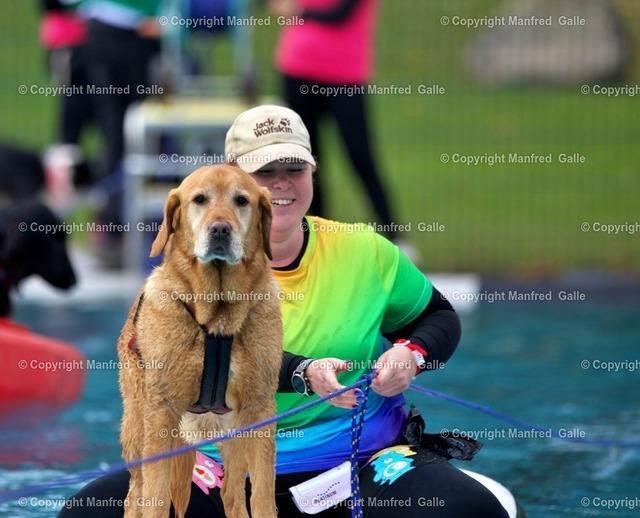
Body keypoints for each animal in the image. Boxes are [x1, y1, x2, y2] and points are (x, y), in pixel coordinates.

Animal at [118, 165, 282, 518]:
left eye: (241, 200)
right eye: (199, 199)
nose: (220, 229)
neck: (217, 318)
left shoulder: (259, 409)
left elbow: (262, 494)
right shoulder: (162, 413)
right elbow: (155, 498)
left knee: (232, 493)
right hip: (139, 427)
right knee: (137, 492)